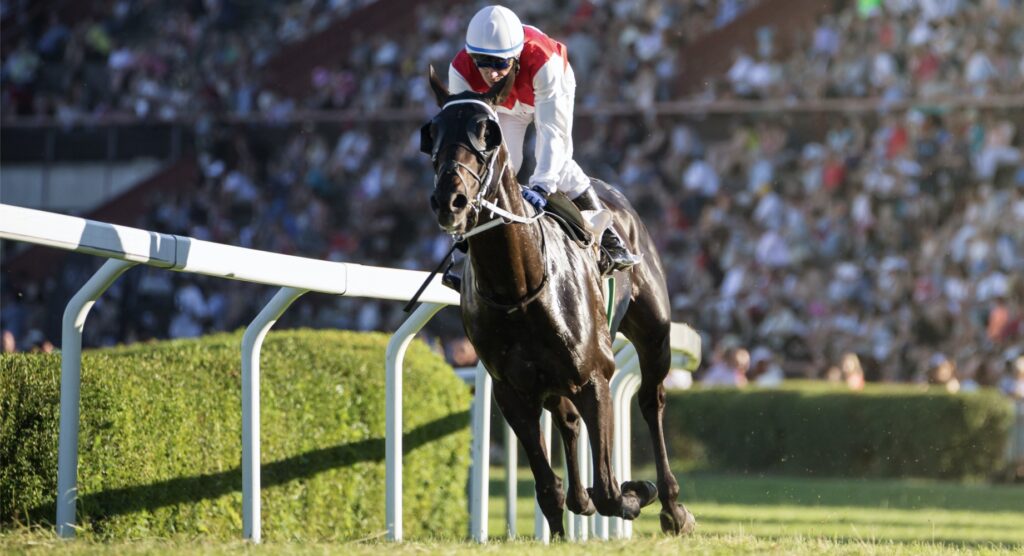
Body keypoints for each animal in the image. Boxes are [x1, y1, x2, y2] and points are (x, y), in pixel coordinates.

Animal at [417, 65, 696, 540]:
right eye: (431, 133)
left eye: (487, 133)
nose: (450, 200)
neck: (519, 289)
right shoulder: (512, 392)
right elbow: (549, 487)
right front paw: (566, 524)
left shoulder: (595, 377)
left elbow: (610, 491)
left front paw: (636, 490)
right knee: (567, 420)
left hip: (654, 333)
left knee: (650, 401)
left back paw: (672, 506)